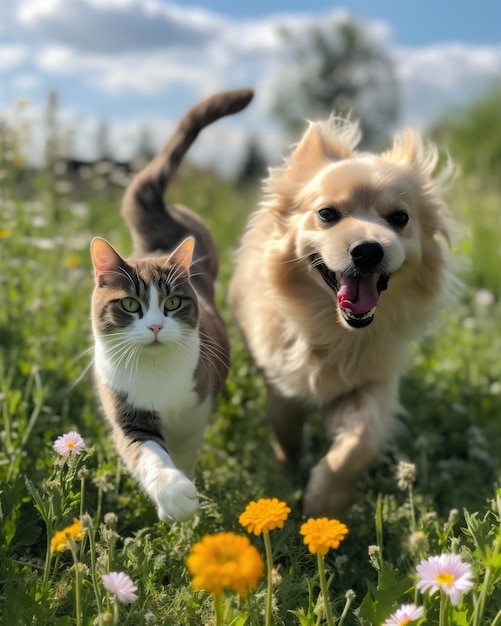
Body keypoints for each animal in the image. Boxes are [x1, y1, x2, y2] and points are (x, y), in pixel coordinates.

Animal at [89, 86, 254, 520]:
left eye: (174, 302)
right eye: (131, 305)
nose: (155, 326)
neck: (156, 372)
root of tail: (157, 216)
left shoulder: (197, 408)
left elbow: (183, 450)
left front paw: (185, 494)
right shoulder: (126, 413)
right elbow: (147, 453)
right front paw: (174, 497)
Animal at [229, 114, 452, 516]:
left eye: (400, 218)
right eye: (327, 214)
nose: (368, 249)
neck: (335, 329)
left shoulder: (374, 385)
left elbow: (360, 444)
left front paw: (322, 502)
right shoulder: (281, 382)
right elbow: (285, 424)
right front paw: (290, 464)